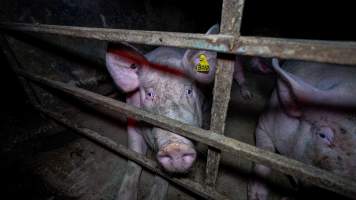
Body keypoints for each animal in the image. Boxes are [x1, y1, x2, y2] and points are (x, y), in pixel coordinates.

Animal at [105, 41, 213, 199]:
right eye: (149, 94)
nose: (176, 147)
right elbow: (134, 158)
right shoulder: (132, 122)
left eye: (188, 91)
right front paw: (124, 196)